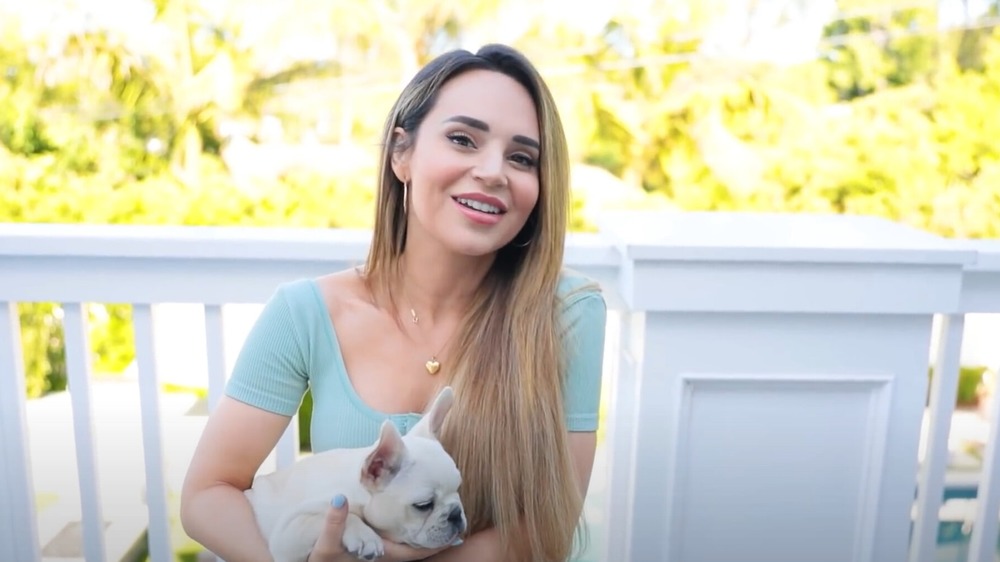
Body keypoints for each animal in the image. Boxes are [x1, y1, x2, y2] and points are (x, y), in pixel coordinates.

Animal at [248, 384, 470, 560]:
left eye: (458, 488)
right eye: (423, 505)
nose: (456, 513)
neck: (358, 491)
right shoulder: (288, 534)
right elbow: (334, 516)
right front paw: (365, 536)